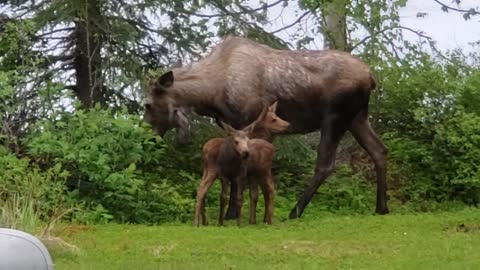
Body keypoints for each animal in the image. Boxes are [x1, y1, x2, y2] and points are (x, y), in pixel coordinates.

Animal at [143, 35, 390, 219]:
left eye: (147, 104)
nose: (147, 136)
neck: (210, 94)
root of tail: (371, 77)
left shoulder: (248, 121)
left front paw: (234, 214)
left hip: (335, 117)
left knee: (325, 164)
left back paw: (295, 211)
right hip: (358, 117)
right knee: (380, 150)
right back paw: (381, 207)